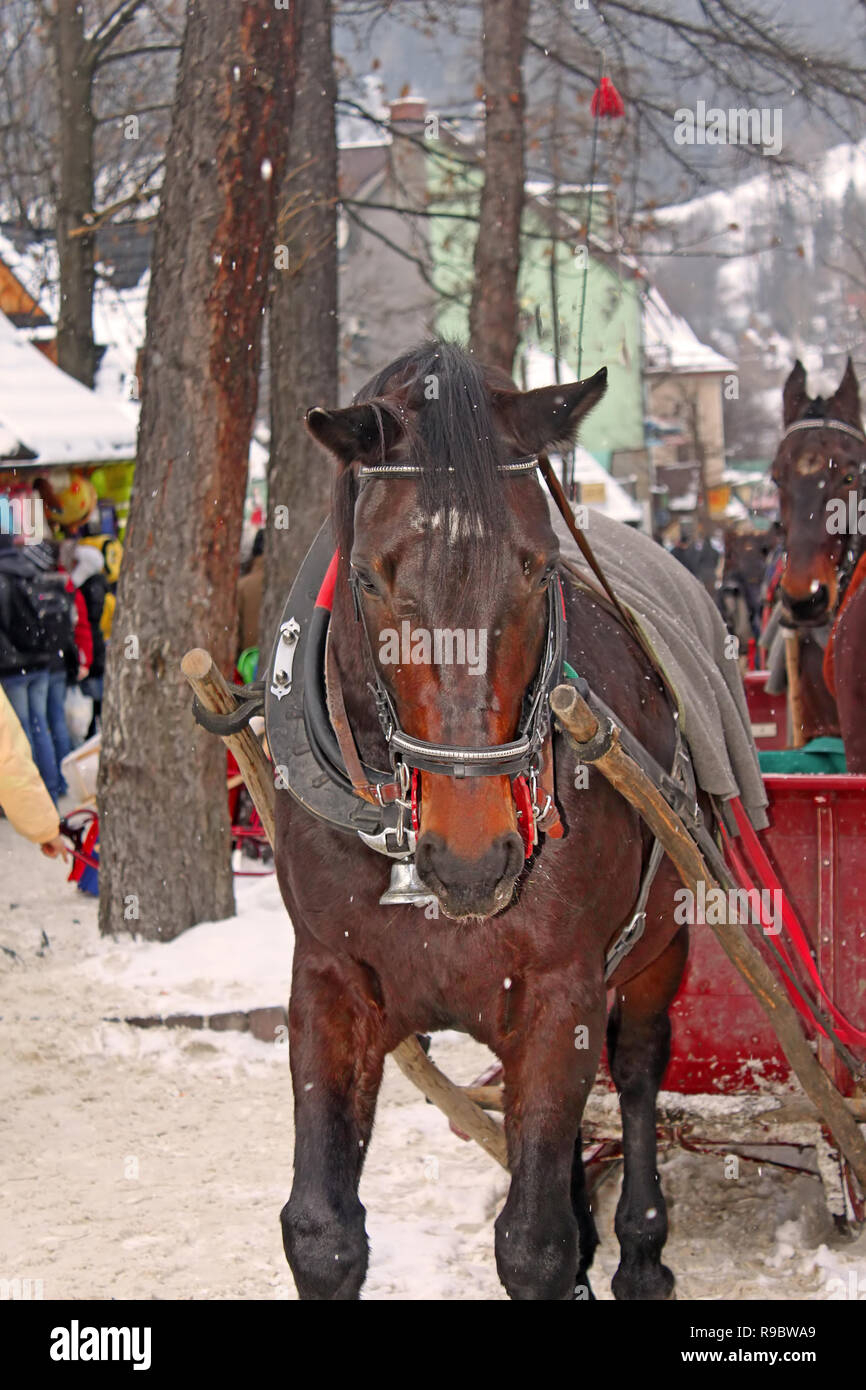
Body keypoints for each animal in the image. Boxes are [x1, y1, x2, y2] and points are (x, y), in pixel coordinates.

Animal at [273, 341, 695, 1295]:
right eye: (368, 576)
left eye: (539, 567)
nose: (471, 860)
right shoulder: (328, 977)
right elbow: (322, 1232)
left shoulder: (560, 989)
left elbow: (533, 1244)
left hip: (663, 946)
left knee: (639, 1067)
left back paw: (641, 1245)